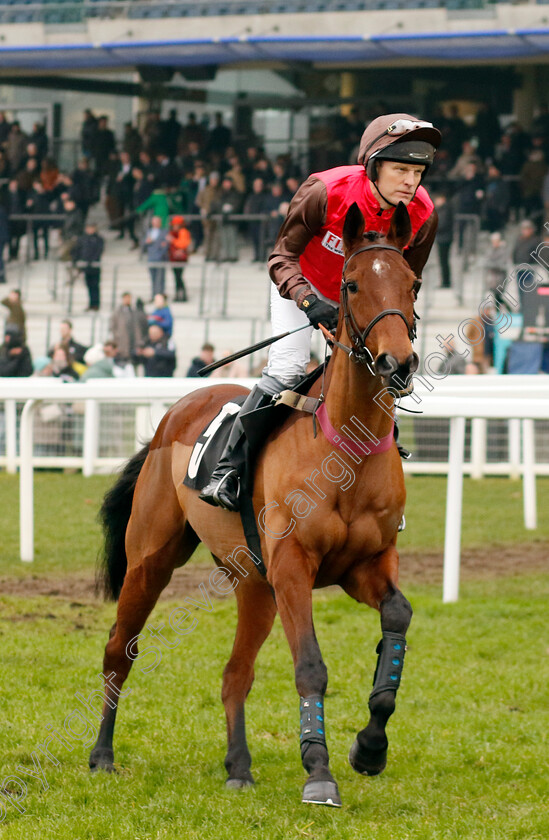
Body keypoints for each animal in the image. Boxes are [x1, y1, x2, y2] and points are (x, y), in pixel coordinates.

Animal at [90, 202, 418, 808]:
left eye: (413, 283)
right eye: (351, 284)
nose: (398, 364)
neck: (347, 449)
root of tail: (172, 416)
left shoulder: (366, 565)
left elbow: (397, 620)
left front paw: (369, 747)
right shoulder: (293, 567)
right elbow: (310, 665)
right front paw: (319, 772)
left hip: (253, 585)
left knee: (233, 674)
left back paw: (238, 766)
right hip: (151, 560)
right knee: (119, 649)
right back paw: (101, 754)